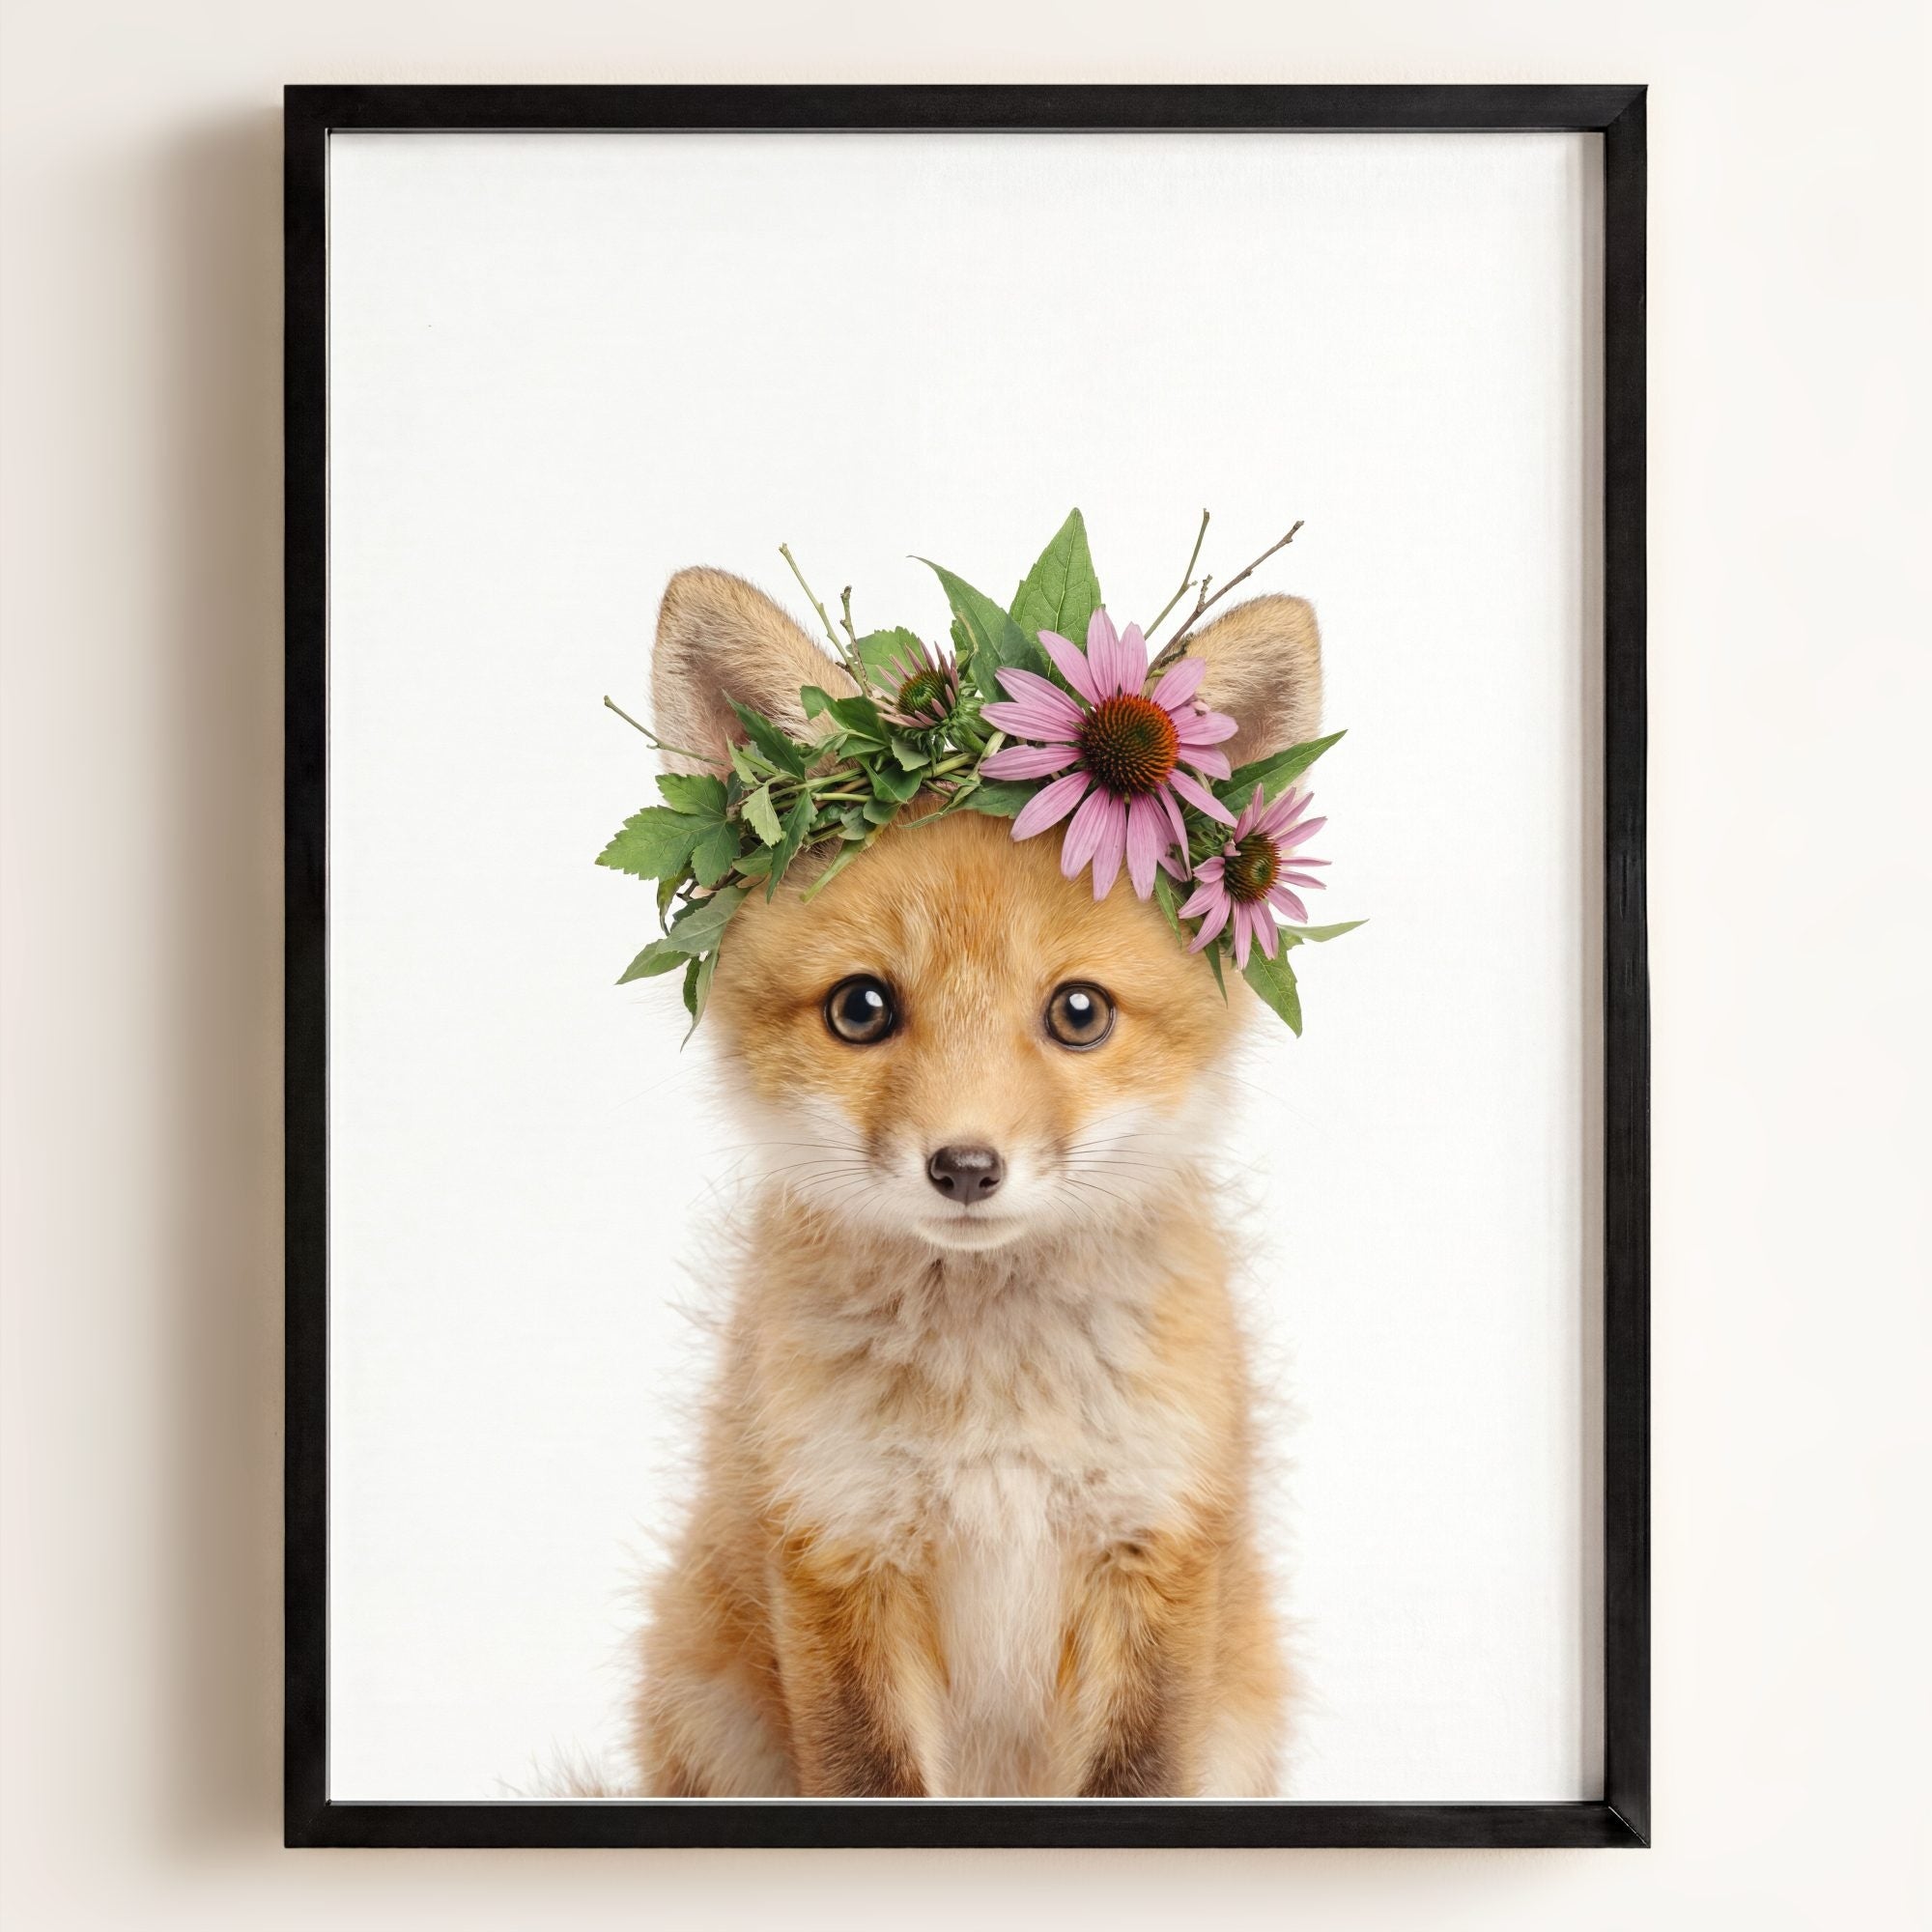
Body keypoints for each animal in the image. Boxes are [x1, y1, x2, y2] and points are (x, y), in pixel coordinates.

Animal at [626, 564, 1323, 1798]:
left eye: (1078, 1012)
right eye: (860, 1007)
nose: (962, 1166)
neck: (994, 1412)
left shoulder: (1154, 1548)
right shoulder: (837, 1548)